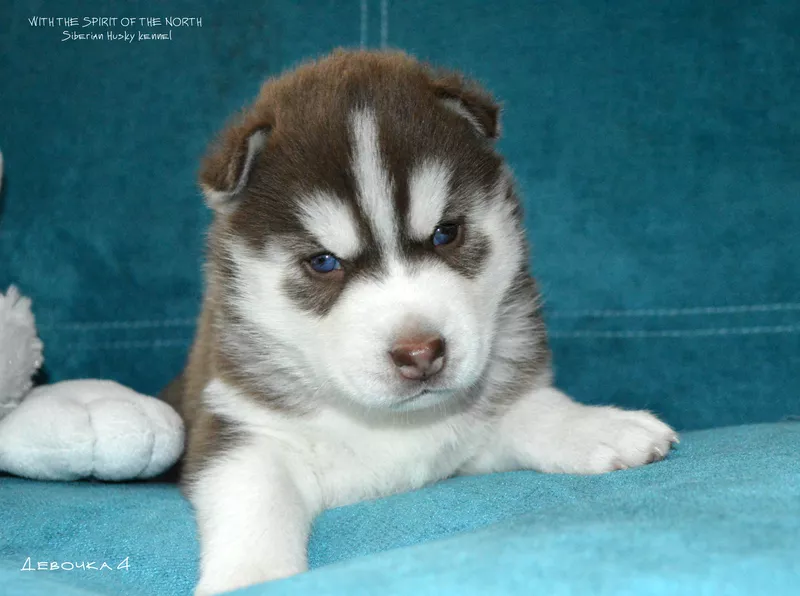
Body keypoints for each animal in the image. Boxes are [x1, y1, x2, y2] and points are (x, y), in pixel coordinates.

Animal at [166, 50, 680, 596]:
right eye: (324, 262)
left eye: (445, 233)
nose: (421, 353)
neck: (392, 423)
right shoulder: (243, 427)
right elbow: (255, 497)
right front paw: (251, 577)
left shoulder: (473, 437)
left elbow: (534, 409)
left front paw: (597, 425)